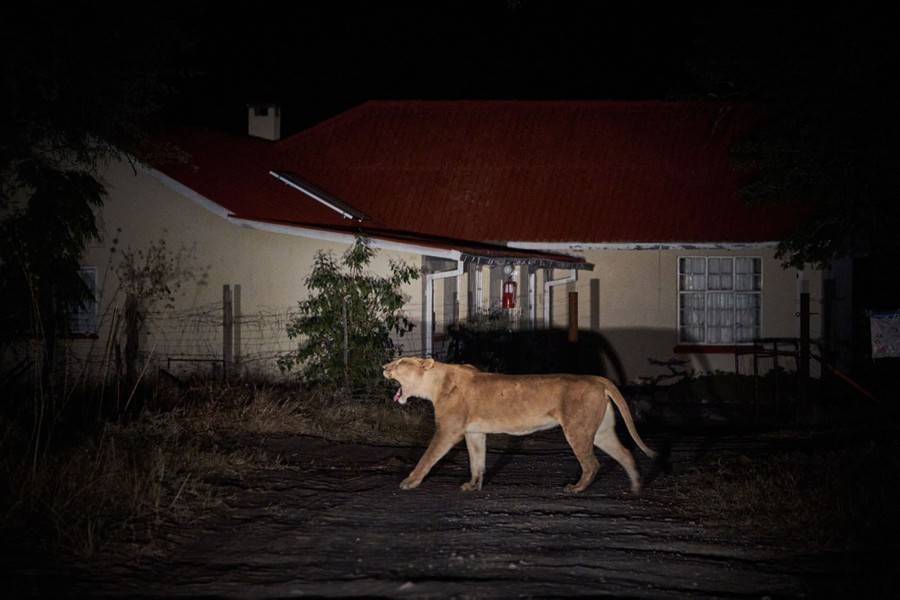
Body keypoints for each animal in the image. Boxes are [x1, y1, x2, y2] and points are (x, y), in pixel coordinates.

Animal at [383, 357, 657, 494]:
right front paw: (473, 486)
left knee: (592, 464)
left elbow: (427, 457)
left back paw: (576, 489)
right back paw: (636, 487)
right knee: (625, 453)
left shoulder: (448, 430)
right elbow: (477, 461)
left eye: (400, 362)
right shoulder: (474, 432)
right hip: (600, 432)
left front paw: (410, 482)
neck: (435, 383)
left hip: (577, 430)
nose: (384, 367)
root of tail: (598, 379)